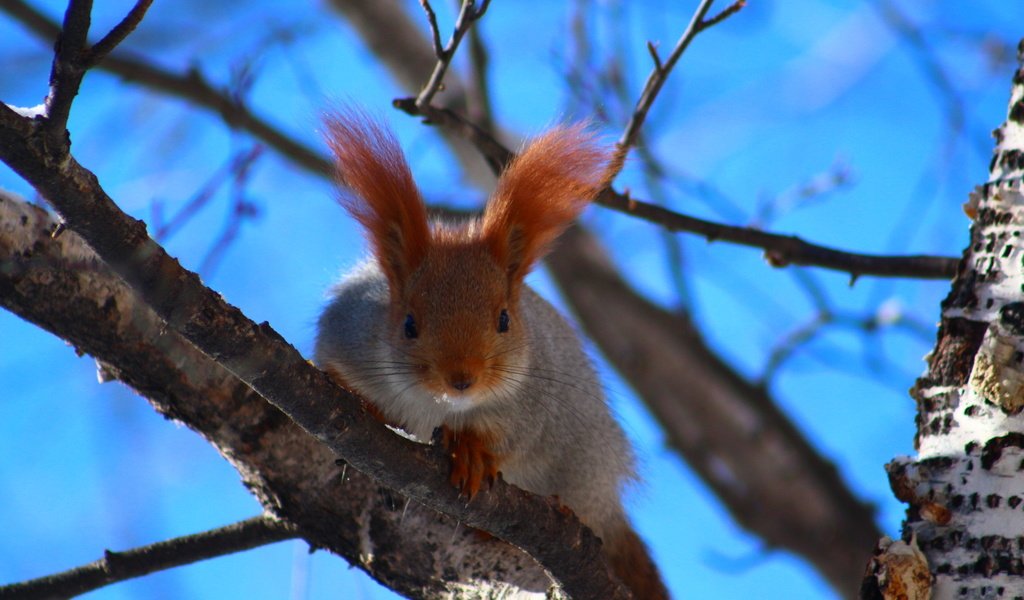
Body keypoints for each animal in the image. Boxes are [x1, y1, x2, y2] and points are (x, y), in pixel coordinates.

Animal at [317, 108, 671, 597]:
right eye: (408, 324)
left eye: (504, 319)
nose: (461, 378)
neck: (436, 405)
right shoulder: (346, 332)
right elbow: (329, 367)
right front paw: (361, 403)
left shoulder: (532, 408)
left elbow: (509, 438)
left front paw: (470, 450)